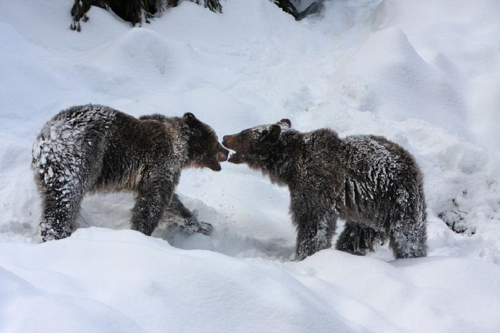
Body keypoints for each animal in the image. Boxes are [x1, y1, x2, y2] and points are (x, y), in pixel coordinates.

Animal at [223, 118, 426, 260]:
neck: (289, 167)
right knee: (358, 233)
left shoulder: (314, 188)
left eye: (243, 134)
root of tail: (414, 163)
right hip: (369, 210)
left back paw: (412, 257)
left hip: (396, 199)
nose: (225, 137)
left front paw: (303, 254)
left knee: (408, 234)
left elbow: (311, 223)